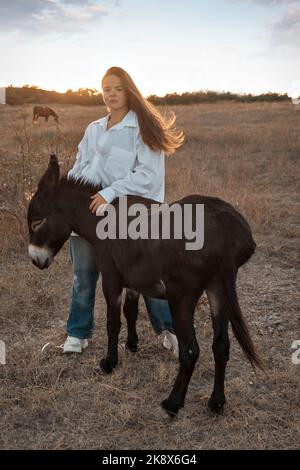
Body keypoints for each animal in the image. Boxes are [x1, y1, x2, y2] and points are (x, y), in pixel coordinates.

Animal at [28, 154, 262, 418]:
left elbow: (112, 322)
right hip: (217, 288)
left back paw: (172, 403)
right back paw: (216, 402)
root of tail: (228, 229)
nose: (35, 260)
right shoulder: (135, 279)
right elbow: (131, 311)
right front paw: (132, 345)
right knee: (221, 345)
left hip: (182, 296)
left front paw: (109, 362)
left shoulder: (111, 278)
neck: (101, 218)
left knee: (190, 350)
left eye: (37, 222)